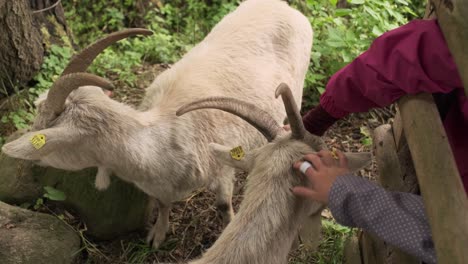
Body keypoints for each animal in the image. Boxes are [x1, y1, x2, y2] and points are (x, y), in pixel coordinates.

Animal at [1, 0, 314, 249]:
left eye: (44, 127)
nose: (22, 155)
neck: (164, 138)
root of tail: (282, 6)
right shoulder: (160, 187)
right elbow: (163, 205)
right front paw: (158, 235)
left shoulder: (223, 167)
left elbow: (224, 204)